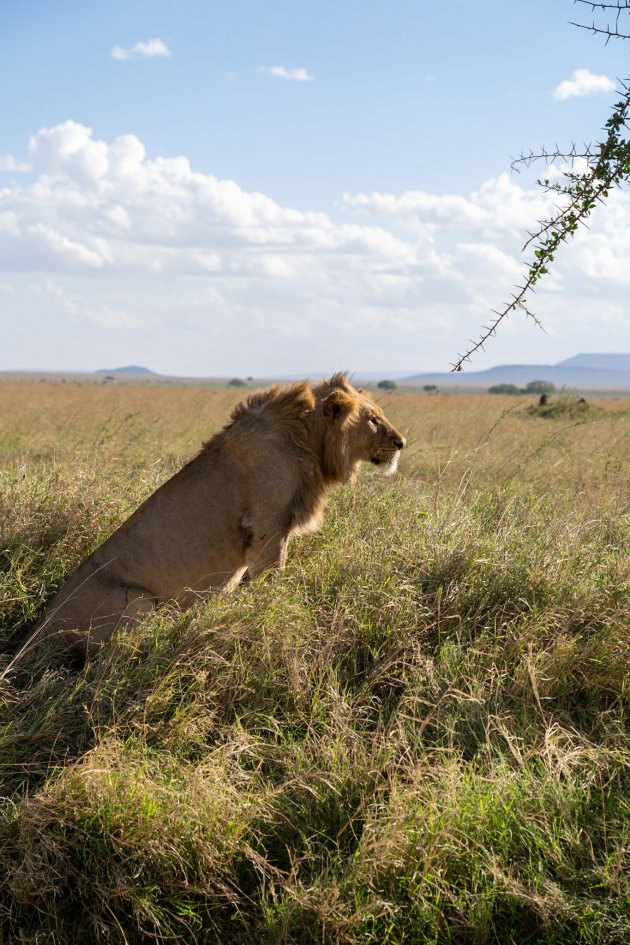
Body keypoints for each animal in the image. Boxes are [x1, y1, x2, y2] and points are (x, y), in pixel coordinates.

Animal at [28, 372, 404, 660]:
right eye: (373, 420)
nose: (402, 442)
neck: (312, 440)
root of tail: (34, 633)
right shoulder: (268, 526)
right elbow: (273, 580)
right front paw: (277, 611)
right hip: (138, 601)